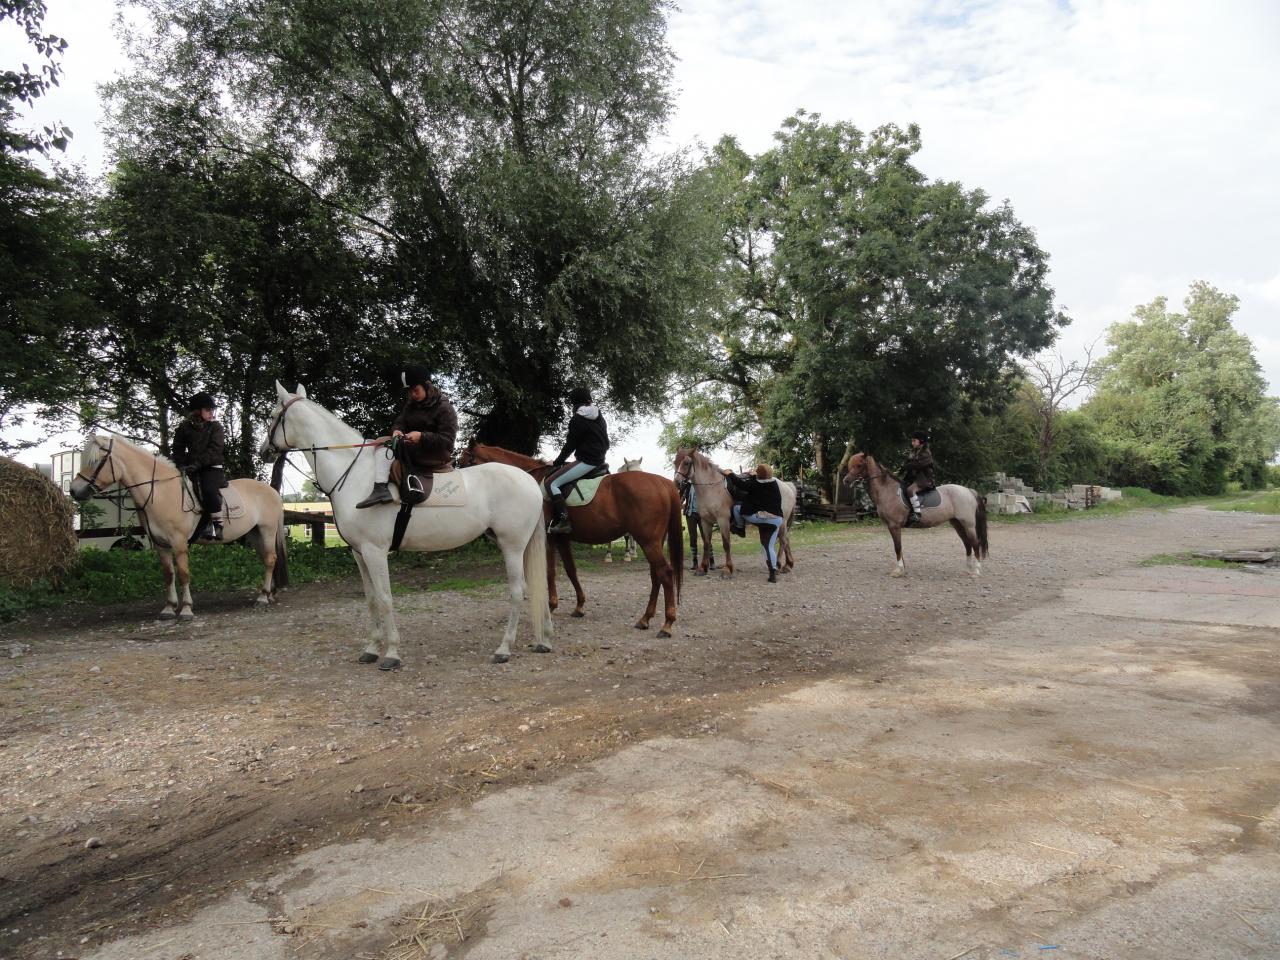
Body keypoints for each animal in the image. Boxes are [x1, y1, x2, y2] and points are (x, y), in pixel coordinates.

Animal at [70, 435, 288, 619]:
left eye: (95, 462)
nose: (73, 491)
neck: (161, 492)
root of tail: (272, 491)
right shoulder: (161, 544)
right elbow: (168, 575)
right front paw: (168, 608)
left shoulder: (179, 542)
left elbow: (183, 574)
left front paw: (186, 609)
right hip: (254, 534)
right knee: (267, 559)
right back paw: (269, 594)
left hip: (267, 531)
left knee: (270, 559)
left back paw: (262, 598)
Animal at [458, 442, 686, 640]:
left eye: (463, 462)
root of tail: (664, 483)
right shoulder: (562, 539)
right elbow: (570, 570)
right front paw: (579, 606)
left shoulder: (548, 539)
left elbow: (550, 572)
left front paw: (551, 605)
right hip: (653, 541)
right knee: (656, 575)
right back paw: (645, 618)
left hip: (648, 541)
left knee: (665, 573)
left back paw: (667, 624)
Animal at [670, 450, 788, 578]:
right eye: (675, 462)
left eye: (686, 463)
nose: (677, 483)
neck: (712, 488)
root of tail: (786, 486)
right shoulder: (705, 521)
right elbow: (706, 543)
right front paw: (702, 568)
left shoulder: (723, 521)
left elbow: (726, 544)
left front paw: (728, 569)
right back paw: (787, 565)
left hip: (781, 523)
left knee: (783, 541)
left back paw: (779, 565)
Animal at [839, 453, 988, 578]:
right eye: (850, 465)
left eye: (859, 465)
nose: (846, 481)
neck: (888, 491)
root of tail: (968, 491)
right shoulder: (892, 527)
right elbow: (899, 548)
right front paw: (902, 569)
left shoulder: (894, 526)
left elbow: (897, 547)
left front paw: (898, 570)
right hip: (957, 524)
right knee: (967, 544)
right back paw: (967, 569)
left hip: (968, 525)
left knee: (975, 543)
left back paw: (976, 571)